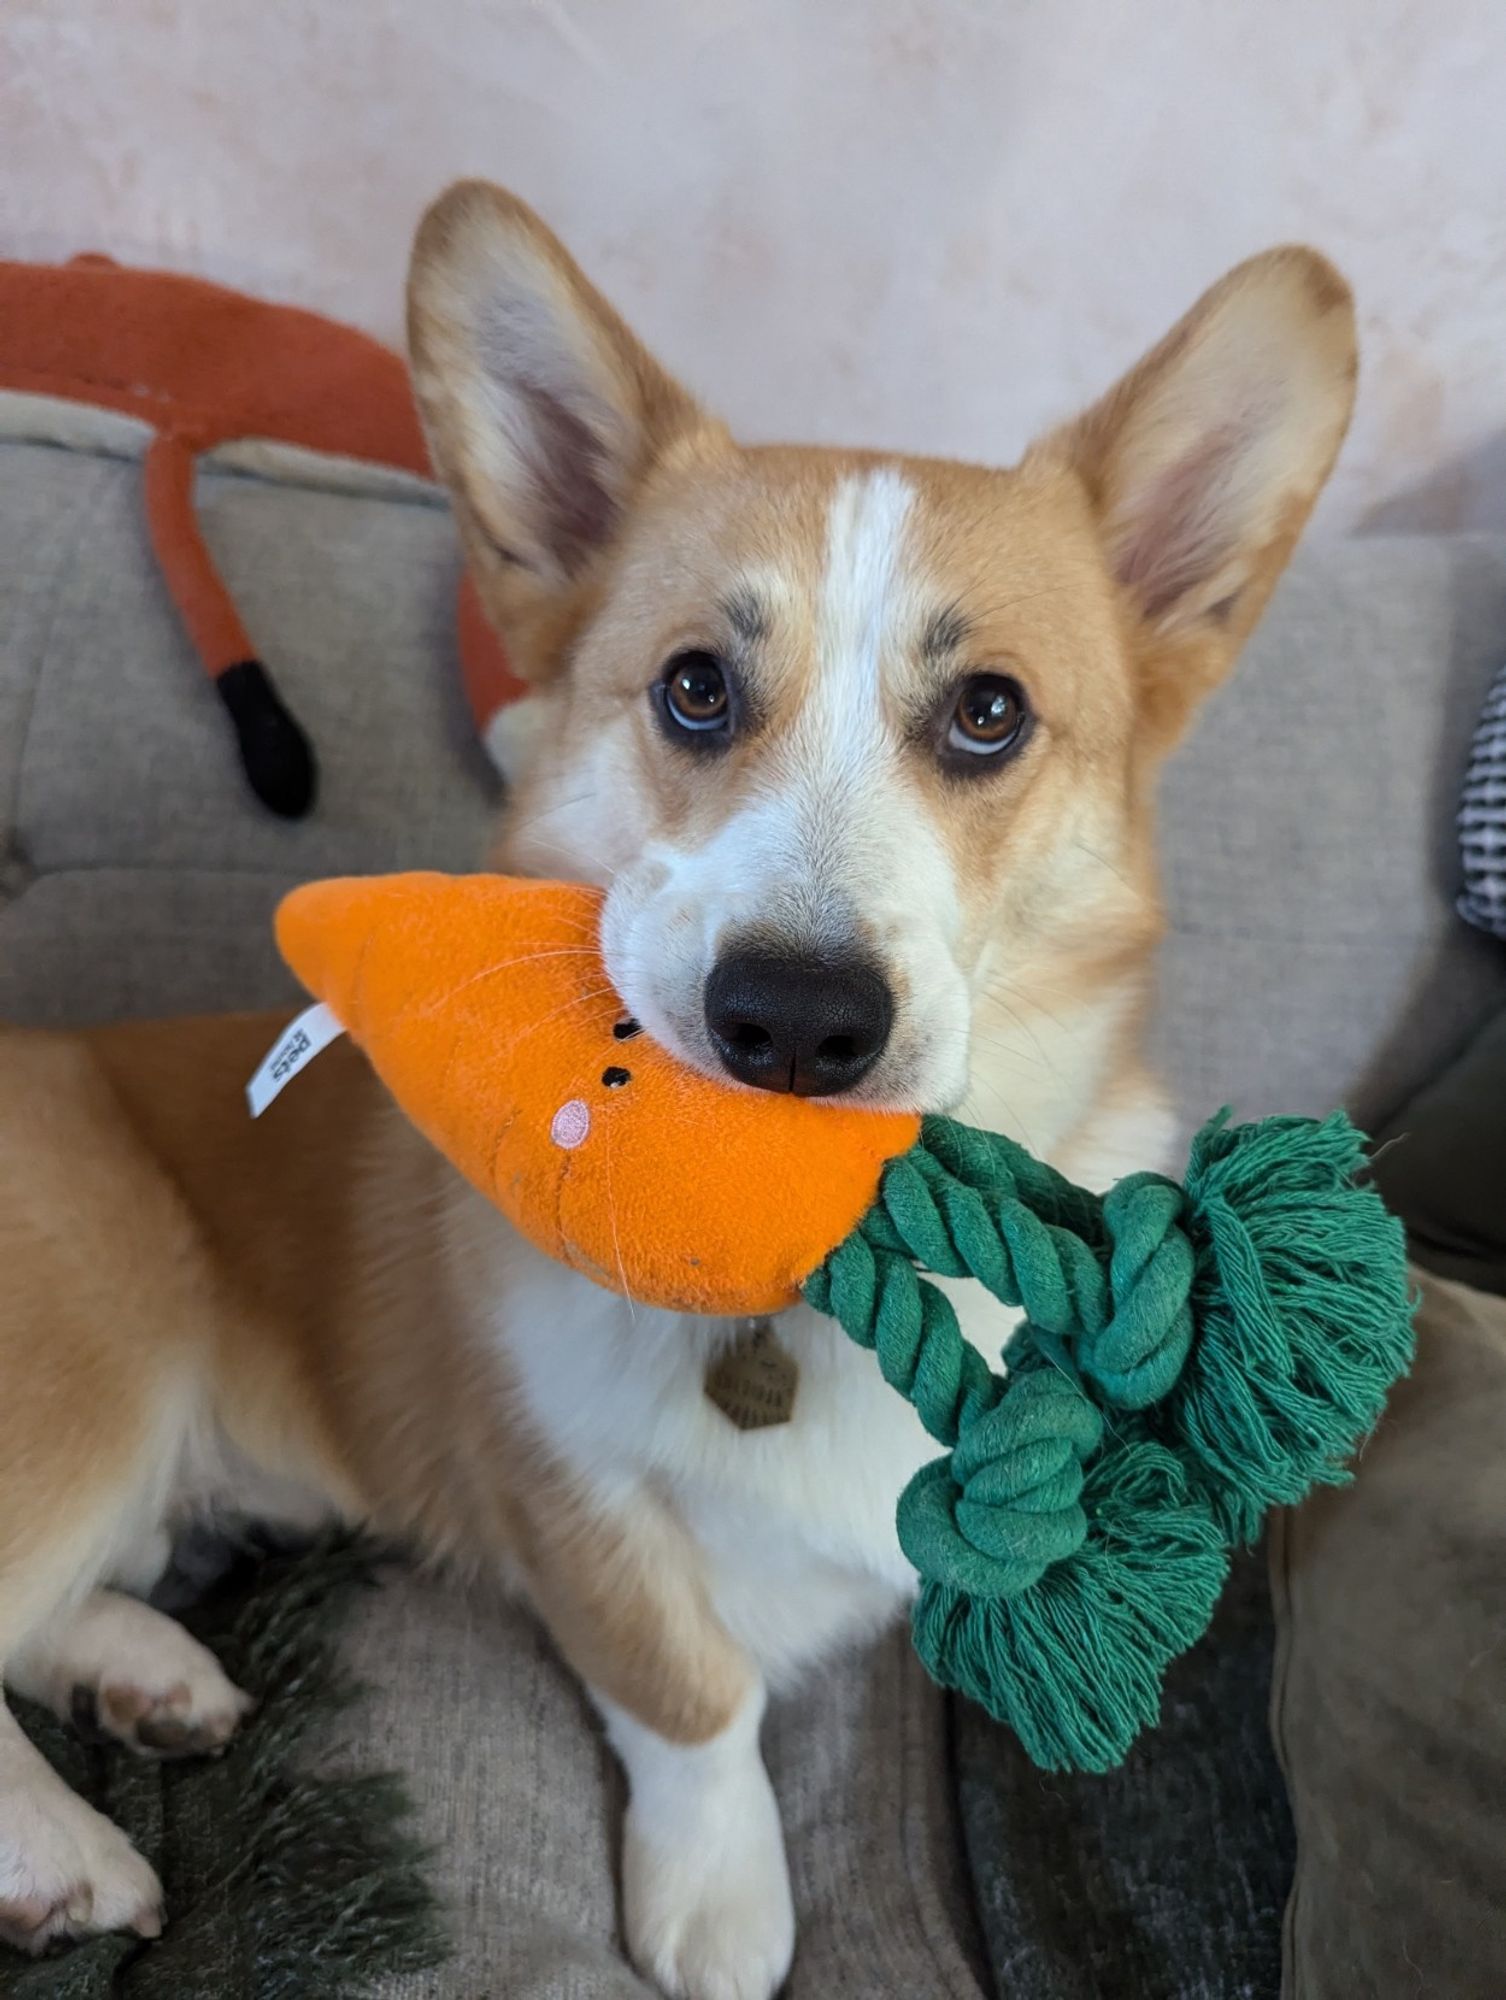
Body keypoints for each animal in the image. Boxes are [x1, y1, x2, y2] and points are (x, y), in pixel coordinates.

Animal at [0, 180, 1360, 1992]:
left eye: (989, 712)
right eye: (695, 686)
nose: (792, 1022)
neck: (791, 1278)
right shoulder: (565, 1486)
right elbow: (687, 1691)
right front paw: (719, 1901)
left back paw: (143, 1675)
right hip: (97, 1375)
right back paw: (66, 1843)